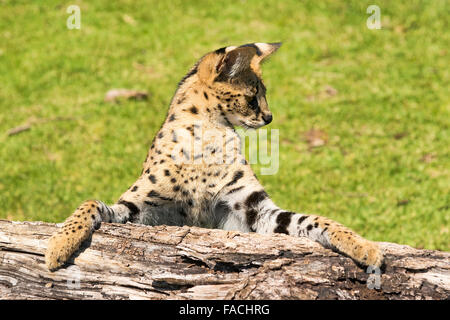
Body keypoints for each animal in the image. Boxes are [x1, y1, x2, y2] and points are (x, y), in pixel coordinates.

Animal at [45, 42, 384, 272]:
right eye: (253, 97)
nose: (270, 118)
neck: (206, 135)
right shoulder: (140, 208)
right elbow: (90, 204)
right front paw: (58, 247)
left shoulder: (254, 209)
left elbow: (315, 220)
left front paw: (364, 247)